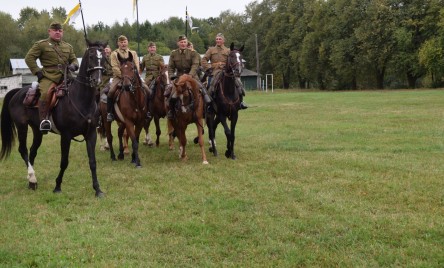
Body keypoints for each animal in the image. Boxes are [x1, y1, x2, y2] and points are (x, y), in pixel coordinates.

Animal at [0, 39, 107, 197]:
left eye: (104, 57)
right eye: (91, 56)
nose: (97, 80)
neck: (80, 99)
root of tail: (18, 91)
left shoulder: (91, 134)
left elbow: (92, 162)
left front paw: (98, 189)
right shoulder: (66, 136)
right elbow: (64, 161)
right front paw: (57, 186)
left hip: (37, 130)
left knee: (32, 151)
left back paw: (32, 182)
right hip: (21, 126)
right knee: (23, 150)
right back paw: (32, 176)